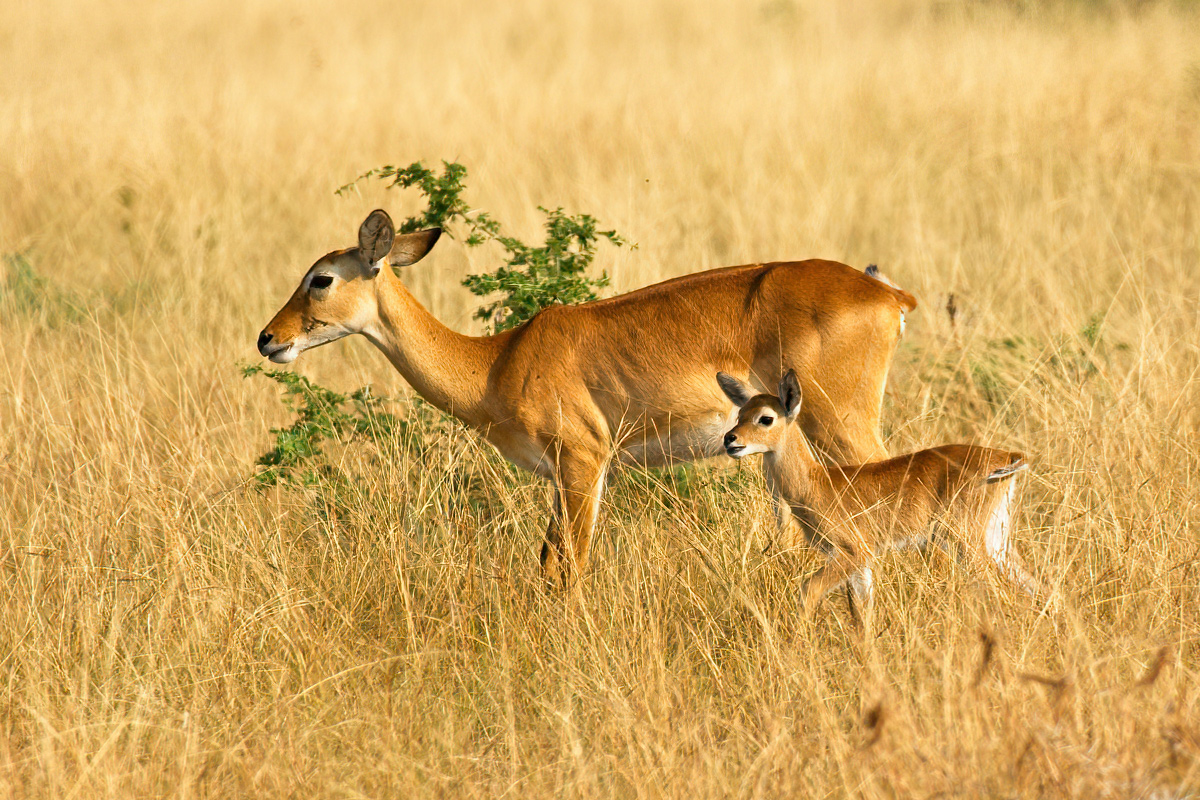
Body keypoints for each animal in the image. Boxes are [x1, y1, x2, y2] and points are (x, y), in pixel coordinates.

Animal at [258, 209, 916, 587]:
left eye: (321, 278)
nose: (269, 338)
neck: (498, 362)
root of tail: (891, 295)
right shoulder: (559, 477)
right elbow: (546, 564)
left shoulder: (583, 463)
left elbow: (570, 566)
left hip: (842, 426)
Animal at [715, 371, 1056, 618]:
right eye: (741, 413)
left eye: (766, 418)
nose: (731, 439)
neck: (817, 483)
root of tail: (1007, 457)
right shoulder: (860, 565)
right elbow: (862, 614)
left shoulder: (853, 553)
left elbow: (807, 590)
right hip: (996, 540)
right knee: (1042, 588)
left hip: (967, 542)